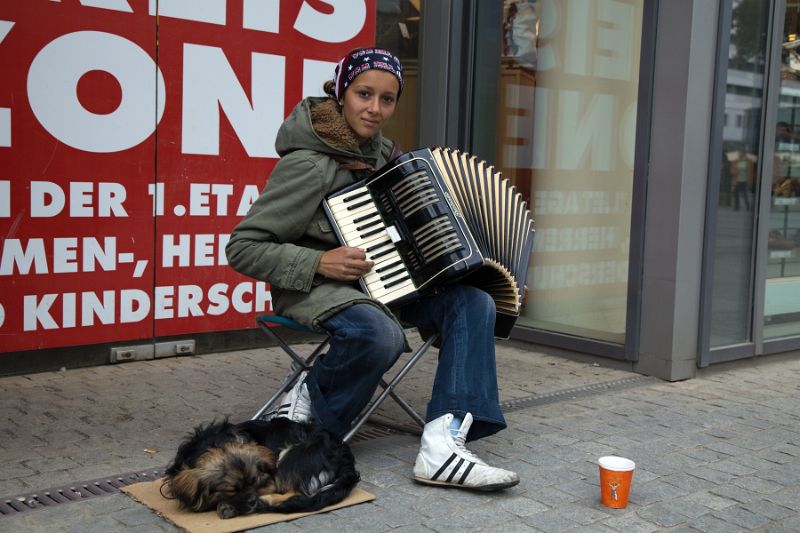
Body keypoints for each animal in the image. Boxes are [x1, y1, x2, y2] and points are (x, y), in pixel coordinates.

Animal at [162, 418, 360, 516]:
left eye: (254, 482)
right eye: (231, 490)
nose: (252, 501)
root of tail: (345, 455)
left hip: (291, 456)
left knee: (293, 493)